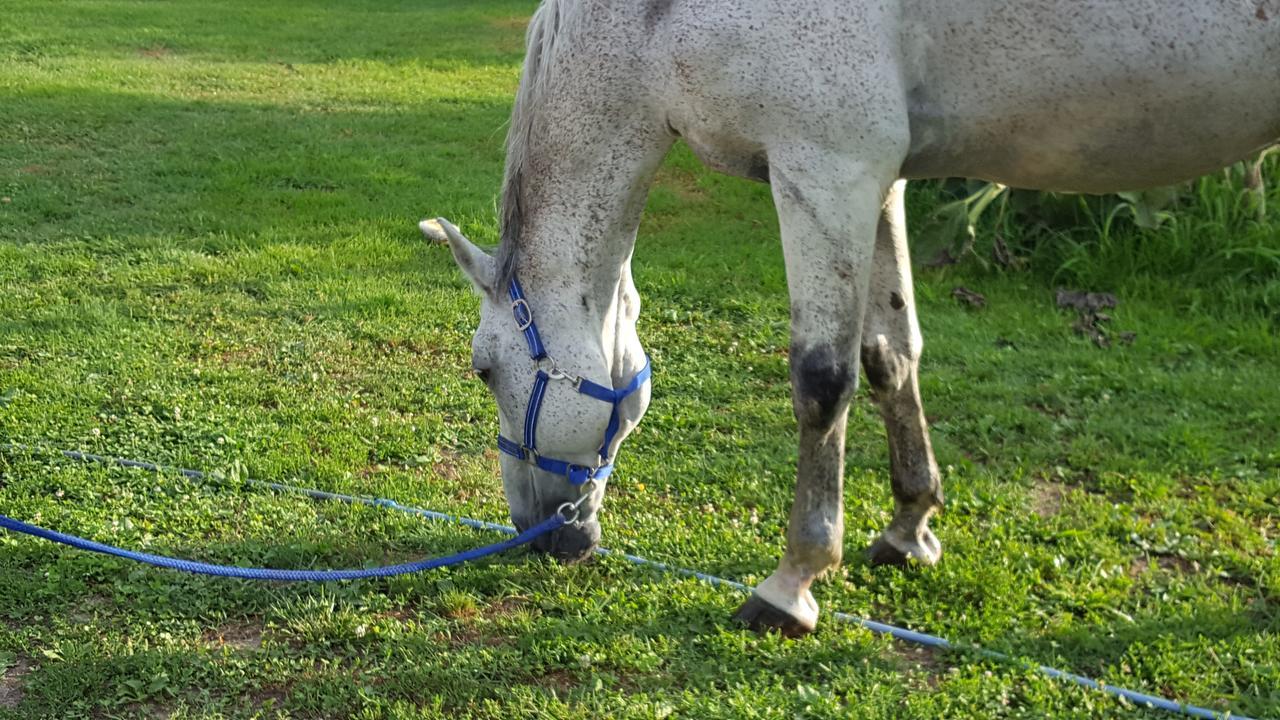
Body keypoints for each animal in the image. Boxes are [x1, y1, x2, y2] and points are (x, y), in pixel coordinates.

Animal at [432, 0, 1280, 632]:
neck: (657, 19)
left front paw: (792, 585)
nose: (536, 533)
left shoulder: (825, 168)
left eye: (485, 371)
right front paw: (910, 529)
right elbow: (889, 354)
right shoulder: (878, 181)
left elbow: (822, 379)